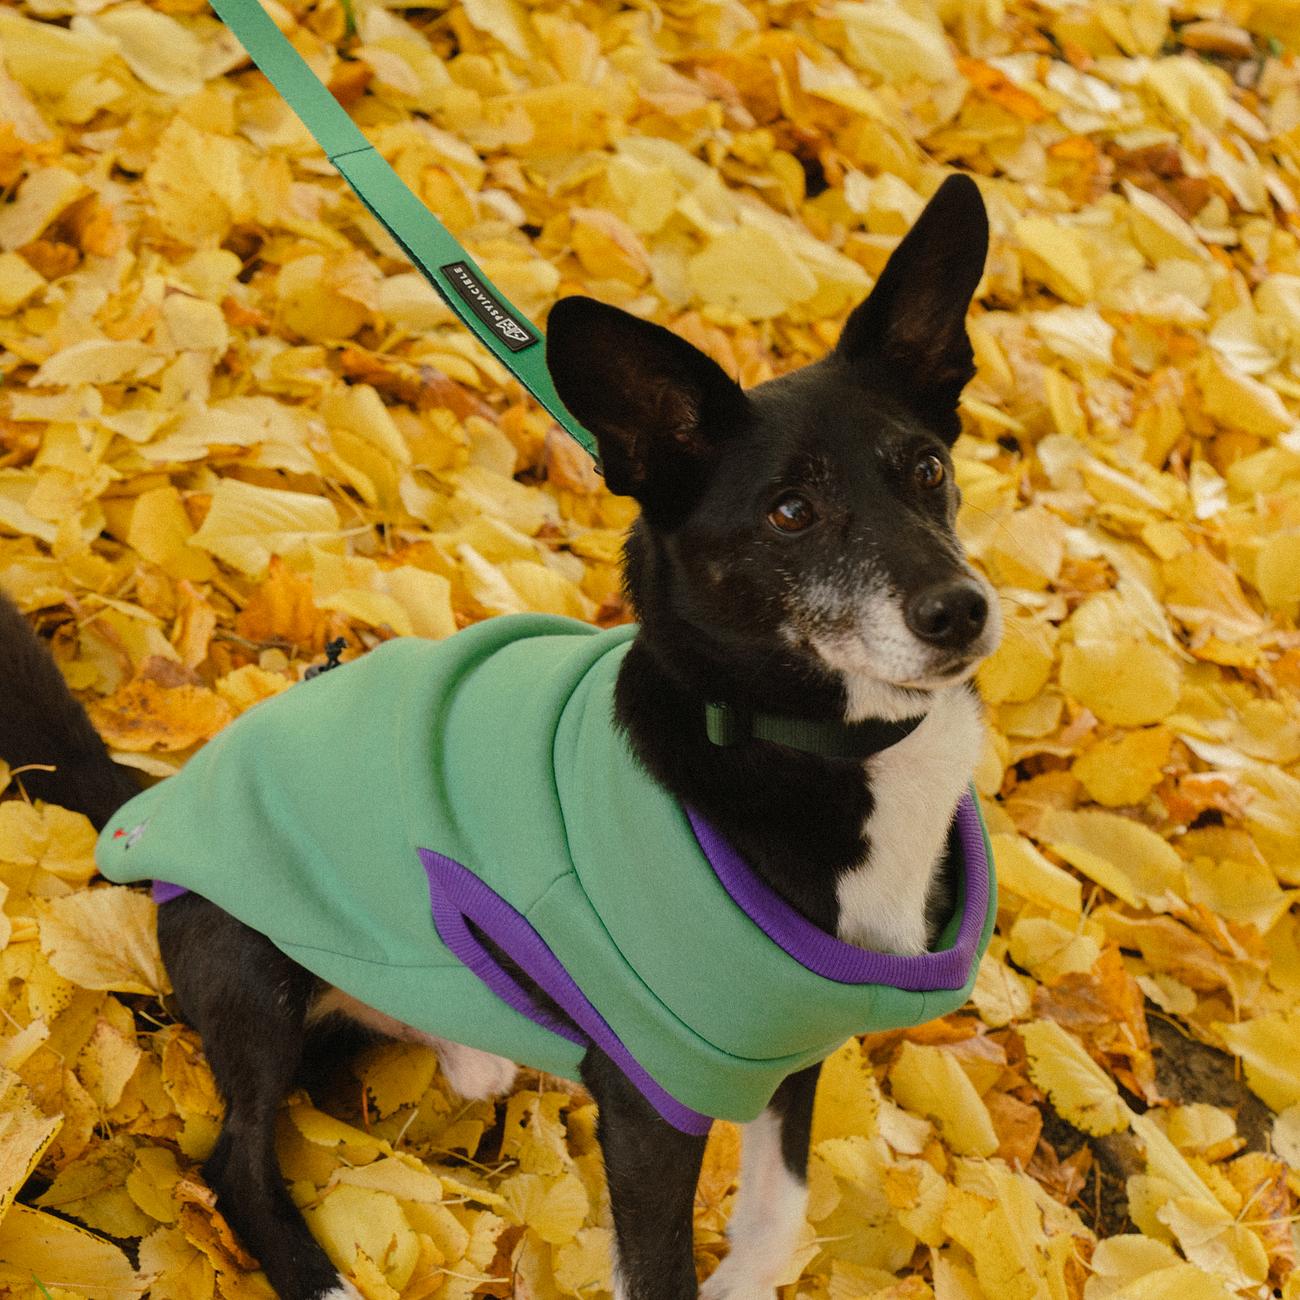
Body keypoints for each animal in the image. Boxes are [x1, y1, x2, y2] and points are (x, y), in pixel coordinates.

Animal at [0, 175, 998, 1300]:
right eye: (790, 511)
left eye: (928, 469)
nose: (961, 610)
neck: (830, 748)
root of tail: (147, 802)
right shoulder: (653, 1095)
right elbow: (663, 1264)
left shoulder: (786, 1048)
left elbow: (775, 1220)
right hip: (250, 962)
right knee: (234, 1163)